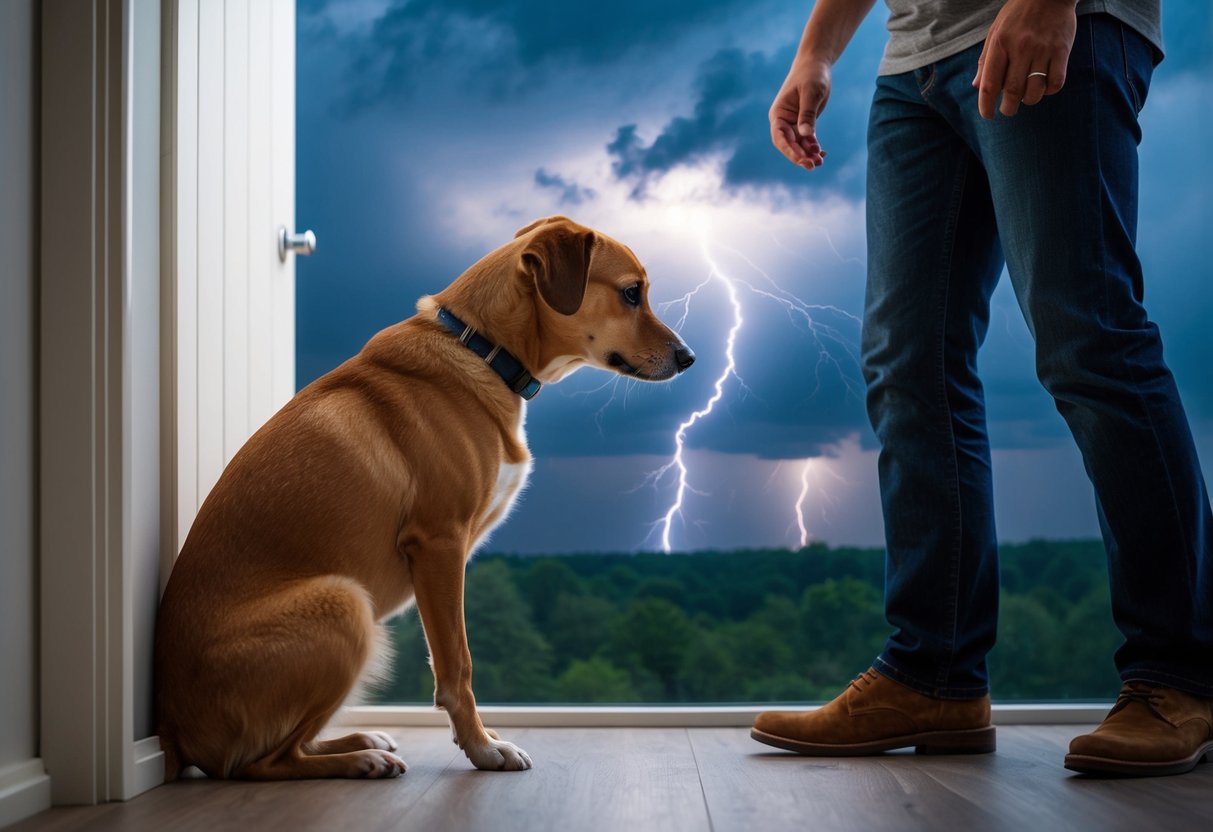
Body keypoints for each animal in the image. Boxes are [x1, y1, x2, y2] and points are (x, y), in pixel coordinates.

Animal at [156, 214, 698, 781]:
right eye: (632, 293)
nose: (689, 358)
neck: (482, 349)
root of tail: (177, 731)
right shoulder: (440, 544)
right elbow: (457, 664)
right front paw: (482, 749)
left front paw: (482, 740)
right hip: (345, 604)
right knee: (261, 762)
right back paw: (360, 760)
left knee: (291, 744)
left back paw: (361, 741)